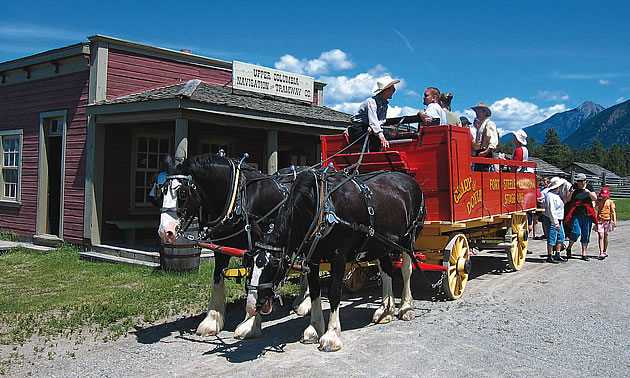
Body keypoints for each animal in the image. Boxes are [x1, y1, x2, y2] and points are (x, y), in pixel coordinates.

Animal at [157, 155, 308, 338]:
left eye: (183, 192)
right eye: (162, 190)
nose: (165, 231)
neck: (238, 197)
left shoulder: (257, 247)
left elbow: (251, 282)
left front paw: (249, 324)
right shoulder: (221, 248)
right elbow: (217, 279)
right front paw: (211, 321)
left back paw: (304, 303)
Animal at [244, 168, 428, 352]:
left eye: (273, 267)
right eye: (250, 265)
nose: (251, 307)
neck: (320, 206)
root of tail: (409, 180)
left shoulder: (338, 255)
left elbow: (333, 293)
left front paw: (331, 336)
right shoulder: (313, 259)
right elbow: (315, 292)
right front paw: (314, 329)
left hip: (407, 240)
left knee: (406, 270)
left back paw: (406, 307)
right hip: (381, 243)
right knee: (386, 271)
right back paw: (386, 310)